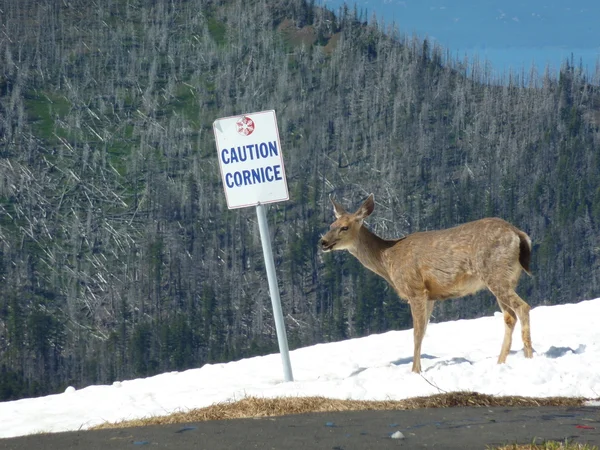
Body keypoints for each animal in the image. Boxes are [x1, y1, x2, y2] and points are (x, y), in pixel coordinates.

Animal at [318, 193, 536, 372]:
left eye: (344, 227)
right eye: (330, 226)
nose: (323, 242)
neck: (388, 259)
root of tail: (519, 234)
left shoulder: (415, 289)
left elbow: (416, 332)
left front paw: (415, 371)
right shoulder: (431, 295)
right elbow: (423, 332)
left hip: (495, 272)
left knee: (523, 307)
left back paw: (528, 357)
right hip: (506, 277)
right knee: (509, 316)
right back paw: (500, 362)